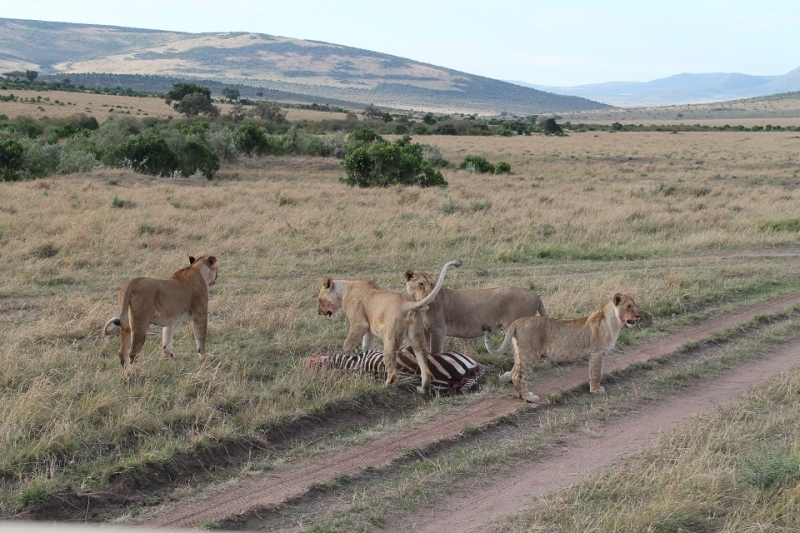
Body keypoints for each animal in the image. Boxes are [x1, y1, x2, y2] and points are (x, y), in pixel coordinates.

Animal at [316, 260, 460, 392]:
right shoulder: (369, 330)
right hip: (417, 337)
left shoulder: (360, 324)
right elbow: (366, 346)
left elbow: (347, 344)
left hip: (390, 338)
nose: (319, 313)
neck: (345, 289)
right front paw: (362, 359)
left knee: (393, 370)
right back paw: (423, 389)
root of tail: (407, 304)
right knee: (425, 367)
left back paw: (384, 386)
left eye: (319, 300)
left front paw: (350, 358)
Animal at [406, 270, 552, 354]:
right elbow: (427, 352)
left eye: (432, 284)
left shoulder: (439, 330)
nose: (430, 296)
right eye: (420, 284)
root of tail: (535, 295)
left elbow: (435, 353)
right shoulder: (426, 331)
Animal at [482, 294, 644, 402]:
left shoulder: (600, 354)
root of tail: (518, 322)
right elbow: (596, 373)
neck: (615, 323)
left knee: (514, 373)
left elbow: (596, 372)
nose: (639, 315)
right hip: (530, 354)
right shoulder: (597, 353)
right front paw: (595, 391)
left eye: (636, 305)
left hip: (519, 354)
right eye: (629, 306)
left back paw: (522, 395)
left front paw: (596, 389)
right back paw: (529, 398)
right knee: (518, 376)